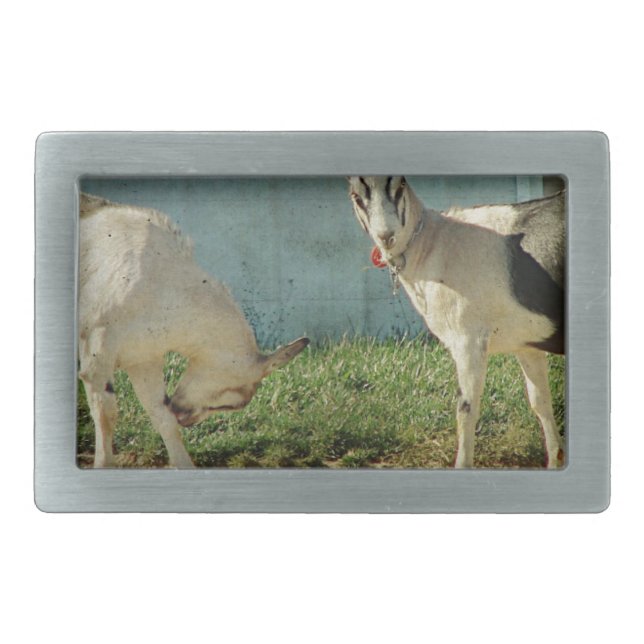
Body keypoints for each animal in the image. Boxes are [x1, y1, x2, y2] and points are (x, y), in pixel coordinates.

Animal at [79, 193, 309, 468]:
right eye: (232, 402)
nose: (186, 417)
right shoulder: (97, 348)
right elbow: (106, 413)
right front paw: (104, 464)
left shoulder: (143, 357)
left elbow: (160, 412)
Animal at [348, 177, 565, 468]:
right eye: (356, 196)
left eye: (400, 187)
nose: (386, 236)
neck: (431, 244)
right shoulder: (527, 341)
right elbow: (540, 402)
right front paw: (555, 459)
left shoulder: (468, 338)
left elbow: (466, 408)